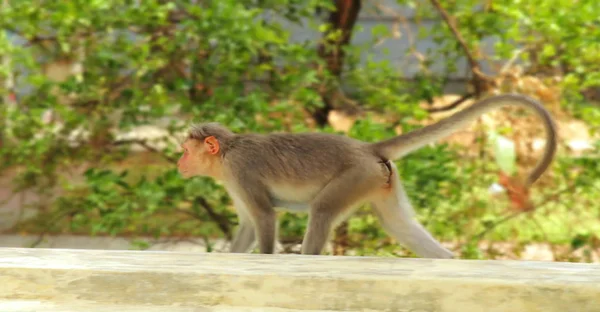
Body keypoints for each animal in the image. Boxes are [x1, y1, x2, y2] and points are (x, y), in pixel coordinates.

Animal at [177, 92, 556, 258]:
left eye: (185, 150)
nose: (179, 163)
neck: (228, 152)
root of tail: (365, 148)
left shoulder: (240, 170)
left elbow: (265, 218)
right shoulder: (233, 180)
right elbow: (247, 225)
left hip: (356, 175)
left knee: (322, 211)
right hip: (378, 179)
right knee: (398, 225)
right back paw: (448, 260)